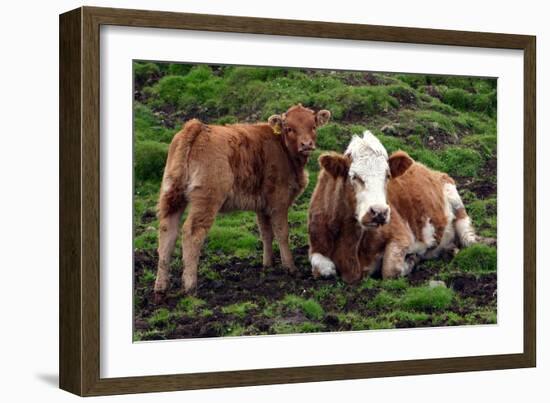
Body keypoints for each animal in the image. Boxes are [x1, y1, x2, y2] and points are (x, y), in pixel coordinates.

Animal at [154, 105, 332, 296]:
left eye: (313, 126)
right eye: (289, 128)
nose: (306, 144)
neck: (282, 148)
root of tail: (197, 127)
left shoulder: (262, 205)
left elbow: (266, 233)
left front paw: (267, 264)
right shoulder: (279, 202)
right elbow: (282, 233)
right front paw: (290, 267)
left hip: (172, 195)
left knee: (167, 230)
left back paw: (161, 285)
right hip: (207, 200)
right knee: (192, 233)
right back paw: (190, 285)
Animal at [308, 131, 480, 282]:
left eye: (387, 175)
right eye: (355, 176)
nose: (379, 212)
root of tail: (428, 169)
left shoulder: (402, 235)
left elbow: (390, 269)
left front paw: (411, 260)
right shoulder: (316, 244)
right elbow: (323, 268)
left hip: (454, 197)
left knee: (466, 234)